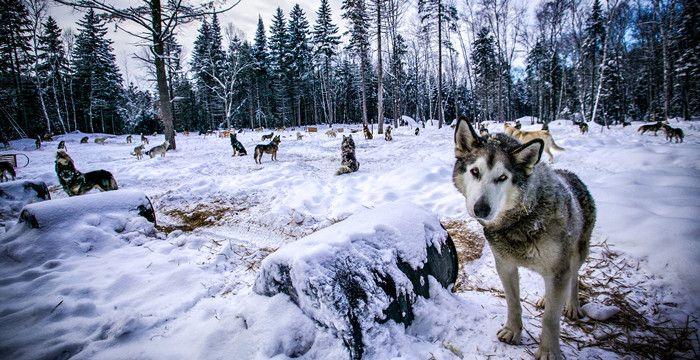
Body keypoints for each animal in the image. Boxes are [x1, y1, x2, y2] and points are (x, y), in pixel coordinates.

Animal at [454, 116, 596, 358]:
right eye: (475, 172)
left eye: (502, 177)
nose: (481, 209)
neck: (522, 219)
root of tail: (571, 174)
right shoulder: (505, 266)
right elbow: (513, 303)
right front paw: (512, 331)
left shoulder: (559, 270)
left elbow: (550, 319)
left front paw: (548, 352)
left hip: (577, 253)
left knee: (575, 277)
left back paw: (572, 305)